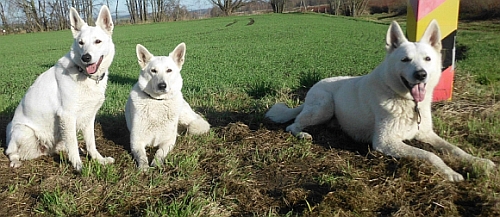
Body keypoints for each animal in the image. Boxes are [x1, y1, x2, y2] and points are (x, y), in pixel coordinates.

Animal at [5, 5, 115, 170]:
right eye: (81, 43)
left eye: (98, 41)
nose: (86, 57)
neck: (83, 73)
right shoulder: (67, 116)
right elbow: (73, 142)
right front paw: (78, 166)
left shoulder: (89, 117)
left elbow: (91, 143)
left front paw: (98, 159)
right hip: (23, 131)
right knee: (11, 152)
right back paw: (15, 161)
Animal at [268, 20, 494, 181]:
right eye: (405, 60)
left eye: (428, 59)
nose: (421, 74)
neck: (407, 102)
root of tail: (314, 88)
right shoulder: (386, 142)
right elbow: (431, 155)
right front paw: (450, 172)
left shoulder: (426, 133)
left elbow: (455, 149)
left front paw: (479, 162)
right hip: (323, 107)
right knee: (292, 125)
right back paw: (303, 134)